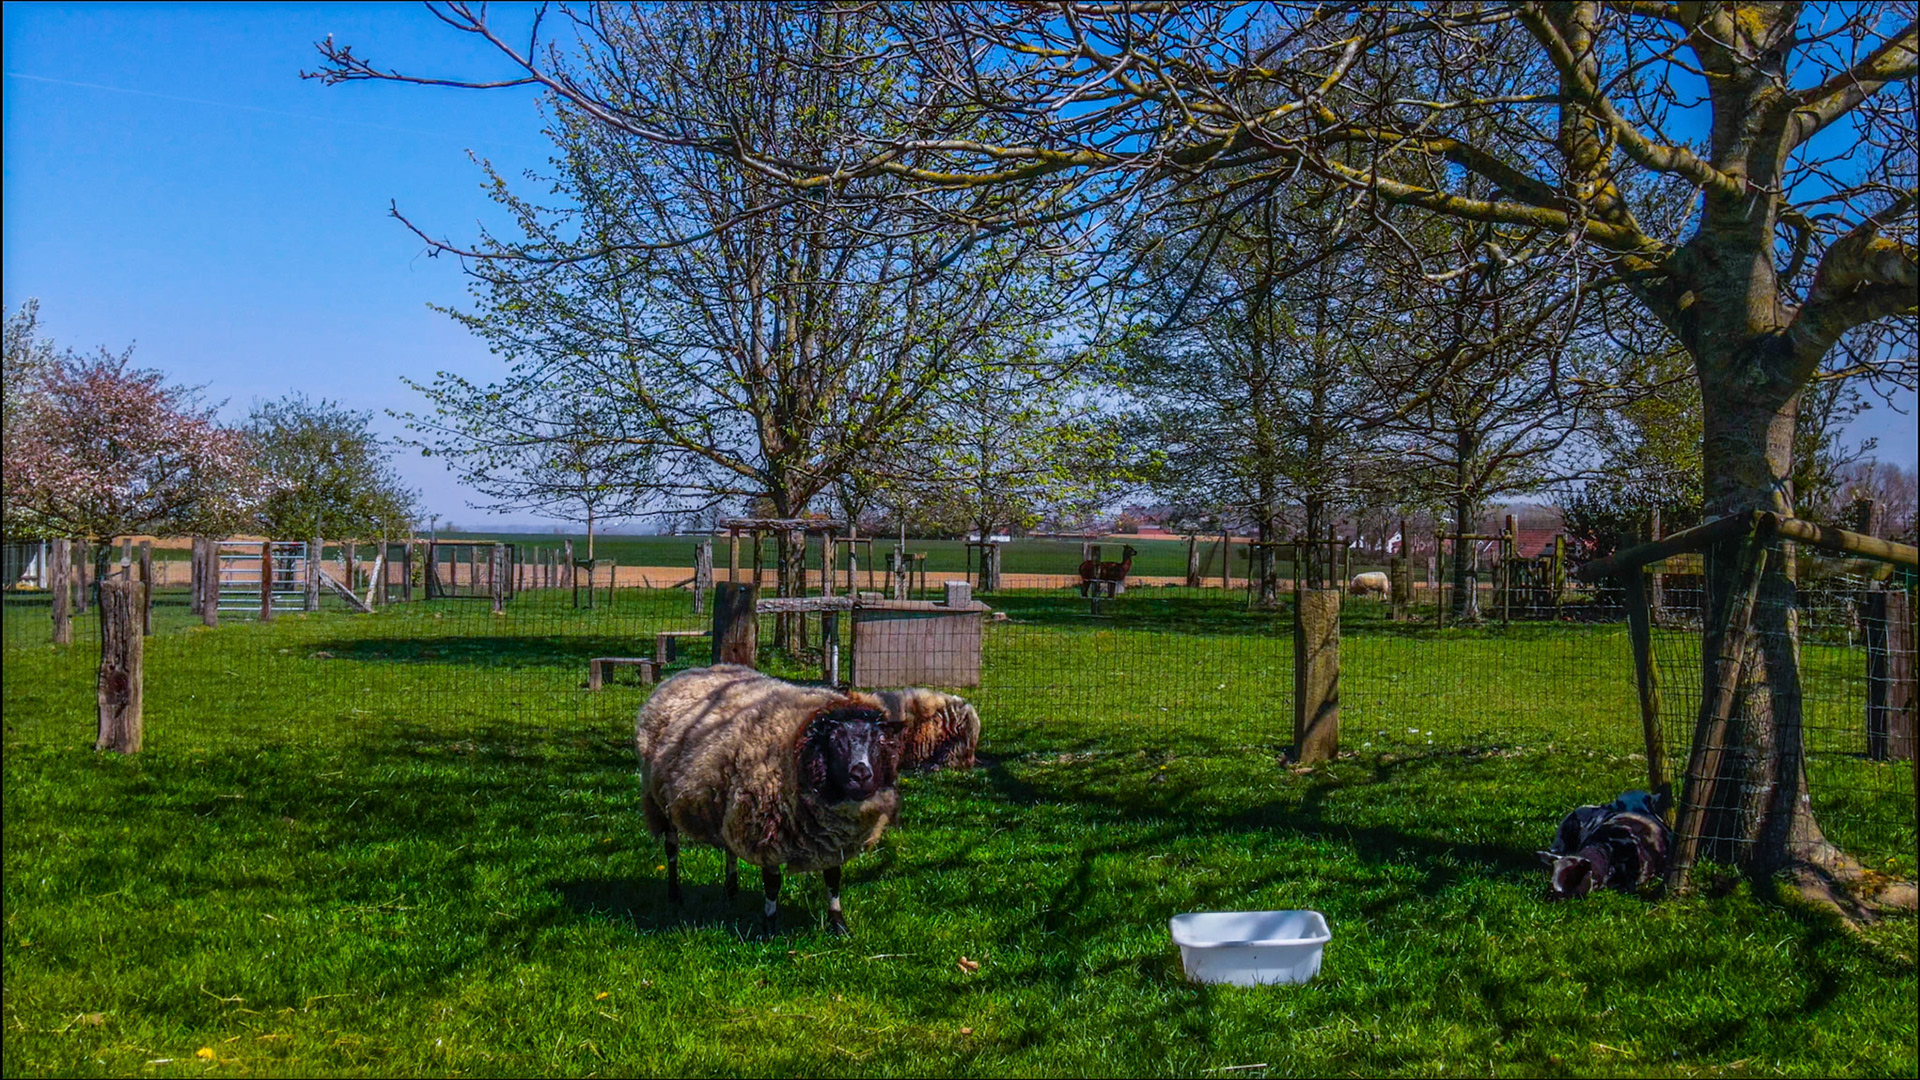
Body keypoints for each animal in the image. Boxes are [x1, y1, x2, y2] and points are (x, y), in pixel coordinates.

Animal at [635, 664, 905, 936]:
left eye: (879, 740)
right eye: (834, 740)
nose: (861, 775)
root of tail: (682, 674)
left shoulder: (831, 839)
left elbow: (833, 879)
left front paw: (839, 924)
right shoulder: (765, 826)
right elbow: (773, 883)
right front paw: (769, 928)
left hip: (728, 806)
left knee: (729, 850)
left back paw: (731, 894)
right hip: (659, 802)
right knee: (671, 850)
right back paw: (674, 895)